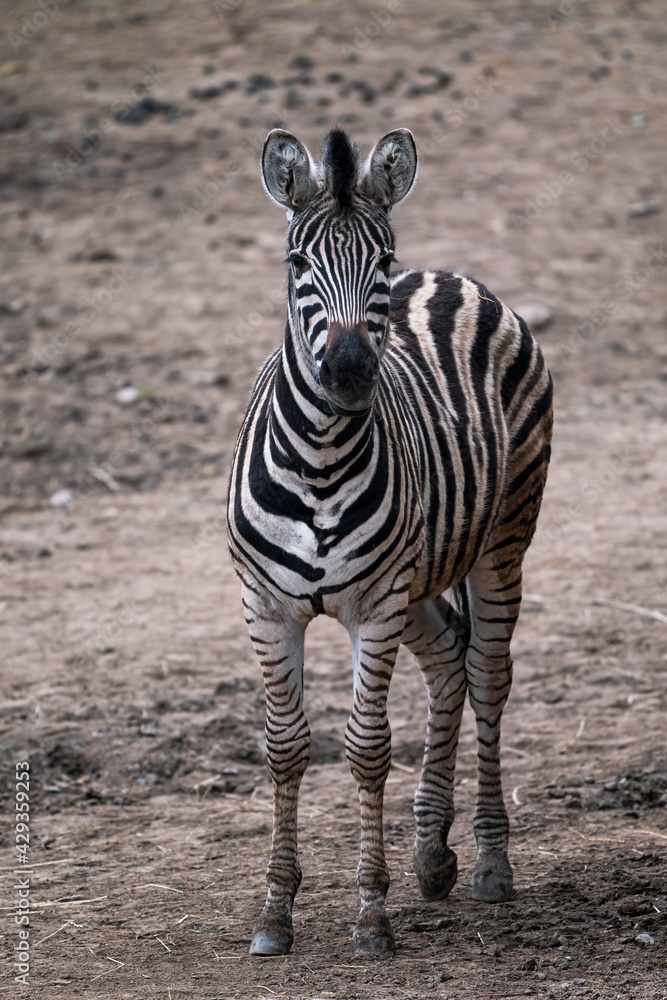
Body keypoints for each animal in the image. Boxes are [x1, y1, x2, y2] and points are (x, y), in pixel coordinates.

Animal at [227, 127, 552, 958]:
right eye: (296, 263)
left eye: (382, 260)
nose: (347, 371)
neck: (318, 459)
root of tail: (446, 276)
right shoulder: (267, 609)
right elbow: (286, 747)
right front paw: (274, 912)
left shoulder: (372, 607)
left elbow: (366, 748)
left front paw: (371, 914)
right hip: (421, 575)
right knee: (447, 662)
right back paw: (432, 856)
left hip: (503, 536)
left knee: (486, 672)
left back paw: (489, 863)